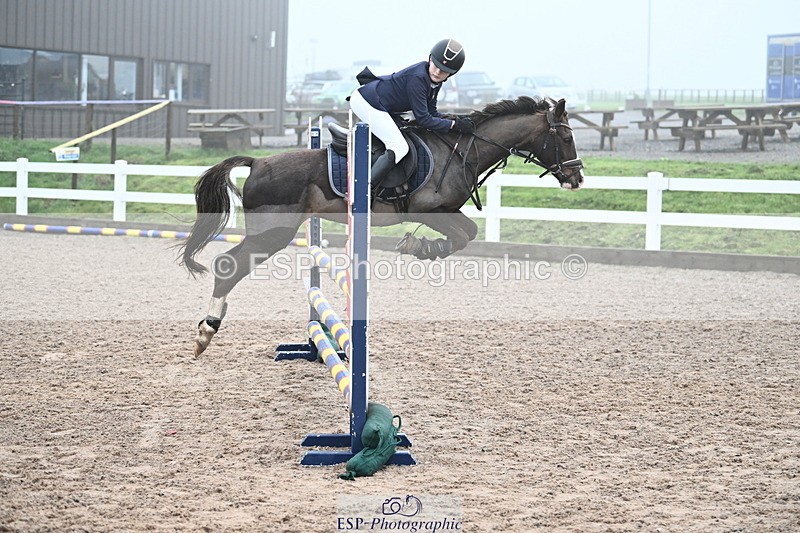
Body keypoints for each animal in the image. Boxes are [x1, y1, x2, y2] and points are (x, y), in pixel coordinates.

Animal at [178, 96, 584, 356]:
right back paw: (206, 331)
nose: (576, 178)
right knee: (227, 265)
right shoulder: (430, 210)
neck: (459, 151)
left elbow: (467, 235)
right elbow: (465, 235)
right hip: (273, 233)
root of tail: (258, 162)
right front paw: (420, 247)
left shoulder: (446, 212)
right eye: (566, 137)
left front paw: (421, 247)